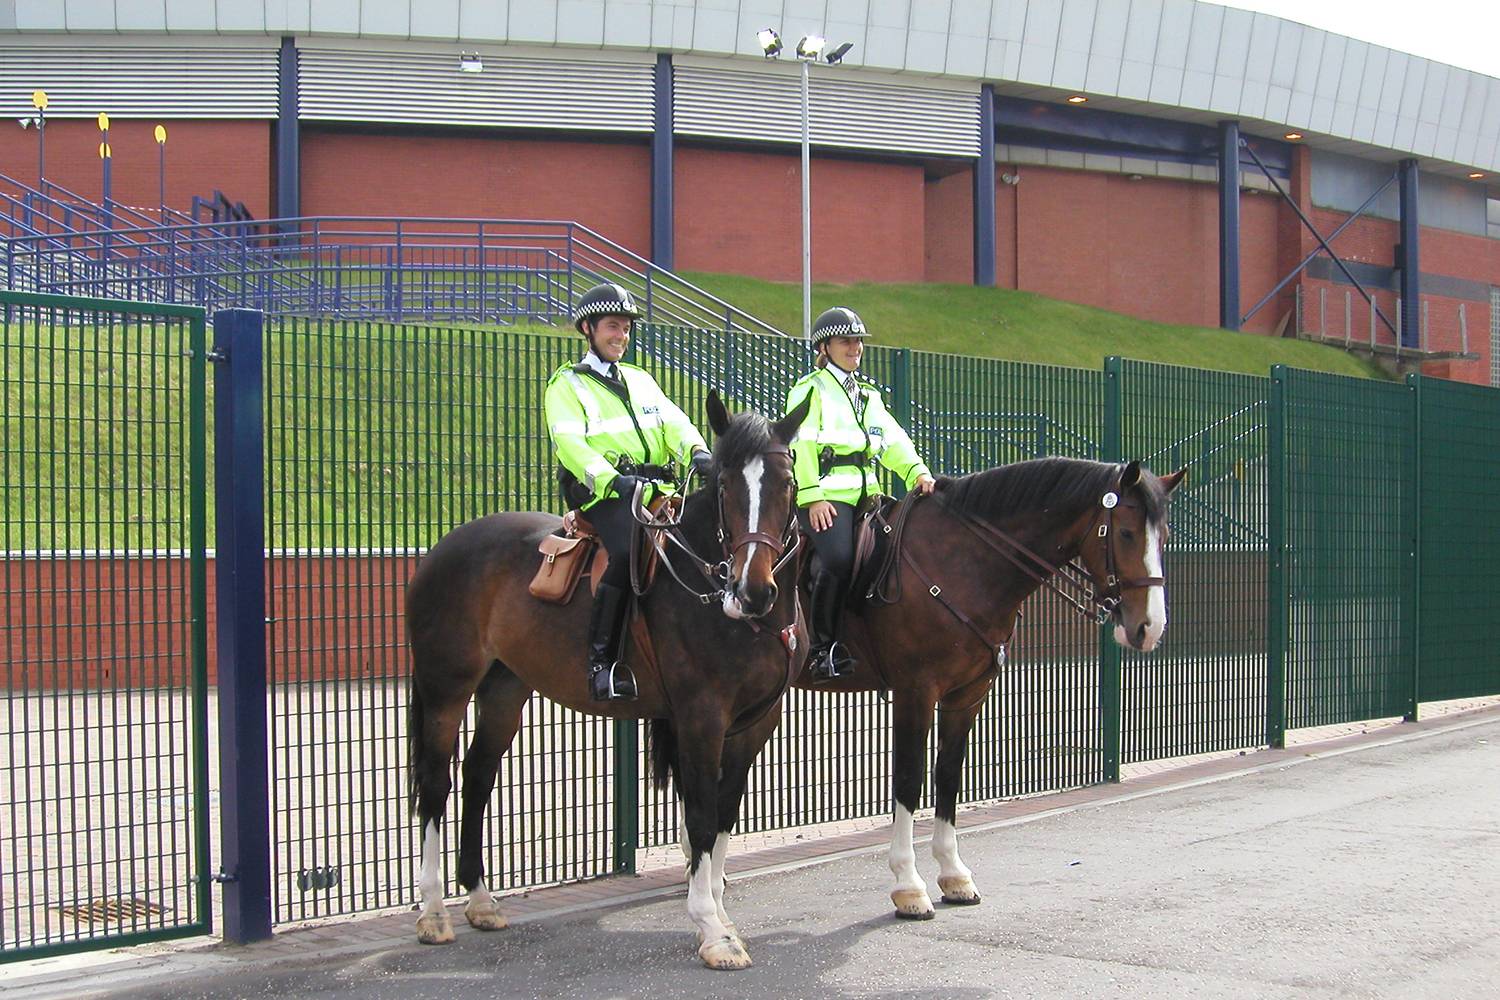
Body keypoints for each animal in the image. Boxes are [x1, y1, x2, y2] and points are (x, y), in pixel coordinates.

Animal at [405, 392, 810, 971]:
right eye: (726, 485)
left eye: (788, 483)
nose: (752, 590)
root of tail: (442, 548)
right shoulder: (701, 718)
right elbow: (702, 818)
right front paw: (711, 929)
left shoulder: (756, 724)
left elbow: (724, 817)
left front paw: (720, 913)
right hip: (446, 689)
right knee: (437, 786)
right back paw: (434, 912)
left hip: (504, 692)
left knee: (479, 778)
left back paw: (480, 900)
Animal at [798, 458, 1182, 917]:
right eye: (1125, 533)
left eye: (1164, 536)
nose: (1150, 628)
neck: (961, 563)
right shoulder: (915, 692)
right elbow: (909, 778)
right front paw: (909, 885)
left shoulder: (968, 695)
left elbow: (948, 775)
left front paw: (954, 875)